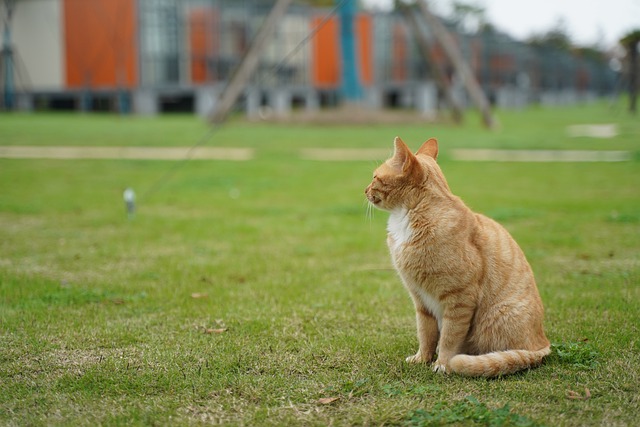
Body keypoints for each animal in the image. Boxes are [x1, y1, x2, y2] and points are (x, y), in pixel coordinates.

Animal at [364, 138, 552, 378]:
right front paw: (422, 359)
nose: (364, 190)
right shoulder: (420, 300)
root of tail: (543, 344)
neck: (410, 216)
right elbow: (425, 334)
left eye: (375, 177)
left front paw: (443, 364)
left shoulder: (460, 299)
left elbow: (449, 339)